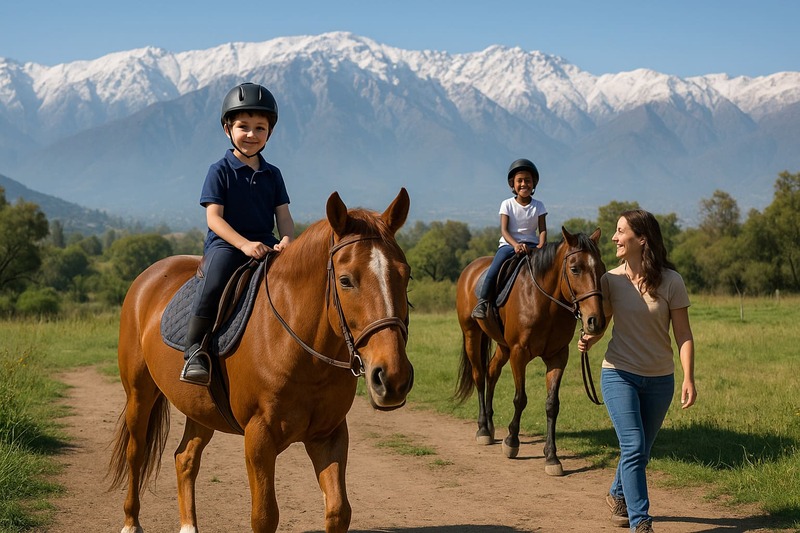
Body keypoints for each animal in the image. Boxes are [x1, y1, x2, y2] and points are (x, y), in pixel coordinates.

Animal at [108, 189, 415, 533]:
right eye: (346, 281)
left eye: (406, 275)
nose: (392, 378)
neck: (302, 353)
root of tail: (145, 280)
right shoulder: (259, 438)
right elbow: (265, 516)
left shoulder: (329, 434)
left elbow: (338, 511)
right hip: (139, 393)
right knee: (136, 453)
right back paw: (131, 522)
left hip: (200, 409)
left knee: (185, 458)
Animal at [455, 227, 606, 476]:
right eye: (575, 269)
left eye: (601, 268)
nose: (596, 321)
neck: (544, 301)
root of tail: (471, 268)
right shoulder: (519, 353)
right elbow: (520, 399)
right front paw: (511, 442)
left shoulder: (557, 357)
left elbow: (552, 404)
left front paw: (552, 457)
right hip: (472, 335)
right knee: (479, 376)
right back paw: (483, 429)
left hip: (503, 346)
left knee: (491, 372)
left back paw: (490, 425)